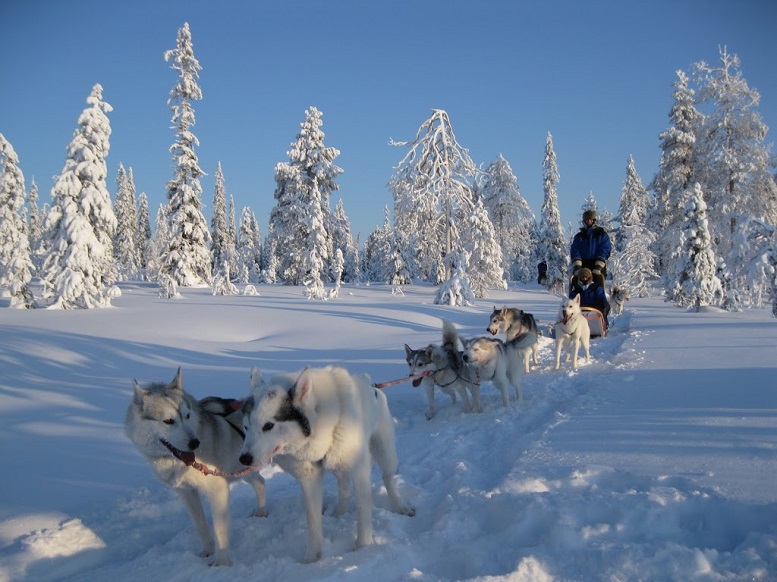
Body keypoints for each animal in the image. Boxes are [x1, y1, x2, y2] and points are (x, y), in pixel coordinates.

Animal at [123, 370, 266, 564]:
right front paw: (207, 550)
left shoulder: (217, 489)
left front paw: (221, 562)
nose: (195, 443)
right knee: (261, 482)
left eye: (187, 416)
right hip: (242, 470)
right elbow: (201, 525)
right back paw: (261, 511)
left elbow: (220, 530)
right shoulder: (187, 493)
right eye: (168, 421)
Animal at [238, 368, 416, 564]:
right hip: (337, 464)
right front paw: (311, 559)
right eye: (246, 427)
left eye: (268, 425)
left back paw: (401, 506)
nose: (244, 459)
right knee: (343, 485)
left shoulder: (360, 472)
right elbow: (313, 521)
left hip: (385, 454)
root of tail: (374, 386)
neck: (321, 422)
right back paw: (340, 512)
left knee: (388, 480)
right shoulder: (310, 479)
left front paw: (363, 548)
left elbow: (363, 512)